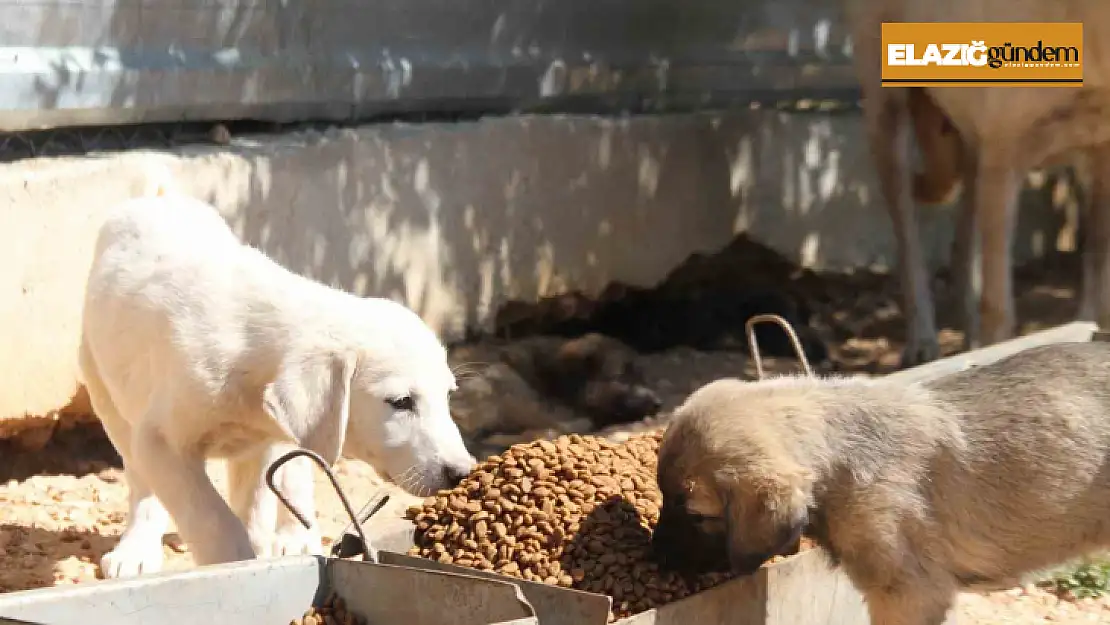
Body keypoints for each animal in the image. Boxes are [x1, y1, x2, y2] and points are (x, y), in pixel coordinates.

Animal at [78, 188, 477, 581]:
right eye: (401, 402)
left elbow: (257, 504)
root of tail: (156, 196)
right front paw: (236, 564)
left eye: (447, 396)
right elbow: (212, 518)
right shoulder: (161, 440)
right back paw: (136, 551)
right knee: (140, 477)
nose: (461, 473)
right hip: (106, 392)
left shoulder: (266, 437)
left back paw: (296, 537)